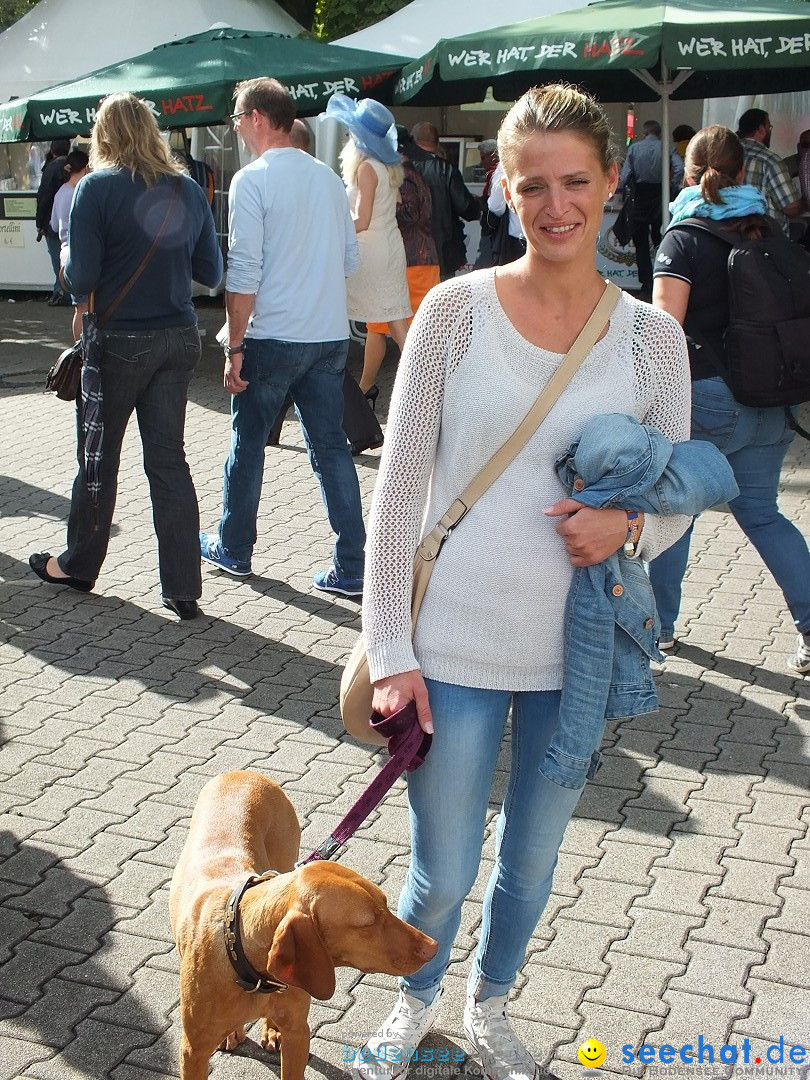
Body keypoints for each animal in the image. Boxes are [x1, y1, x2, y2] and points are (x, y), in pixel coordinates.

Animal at [169, 768, 438, 1080]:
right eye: (368, 922)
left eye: (385, 902)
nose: (433, 947)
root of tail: (243, 773)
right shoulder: (193, 1052)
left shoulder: (298, 1033)